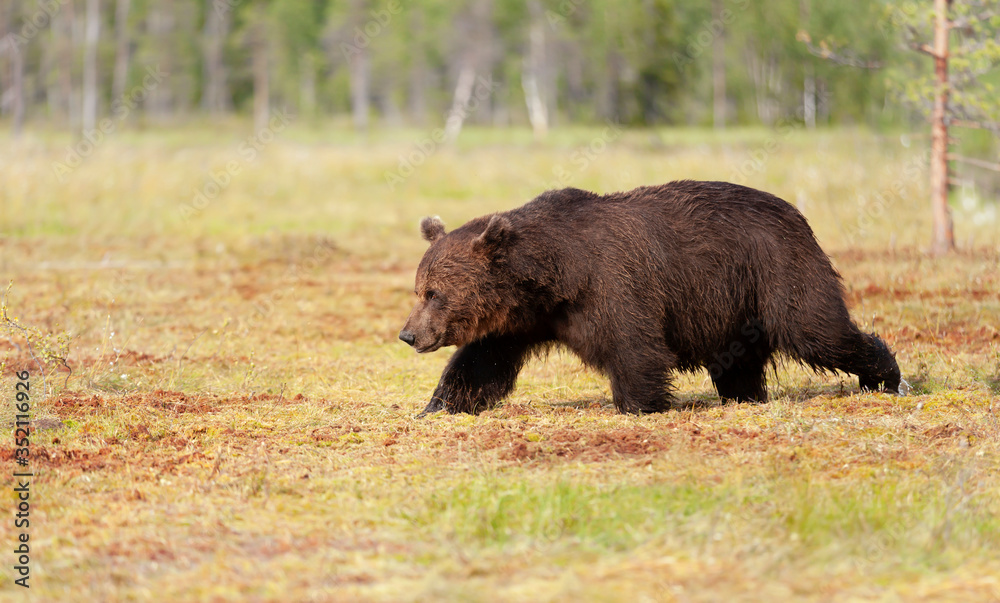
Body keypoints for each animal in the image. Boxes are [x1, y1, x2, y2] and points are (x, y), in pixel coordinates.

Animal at [396, 179, 900, 416]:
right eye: (419, 290)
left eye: (434, 293)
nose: (408, 335)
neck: (554, 276)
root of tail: (796, 213)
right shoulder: (522, 319)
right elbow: (481, 363)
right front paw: (436, 405)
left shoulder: (614, 285)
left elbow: (635, 348)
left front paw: (640, 405)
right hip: (732, 306)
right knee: (738, 362)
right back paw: (744, 395)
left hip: (775, 269)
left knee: (816, 329)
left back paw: (885, 375)